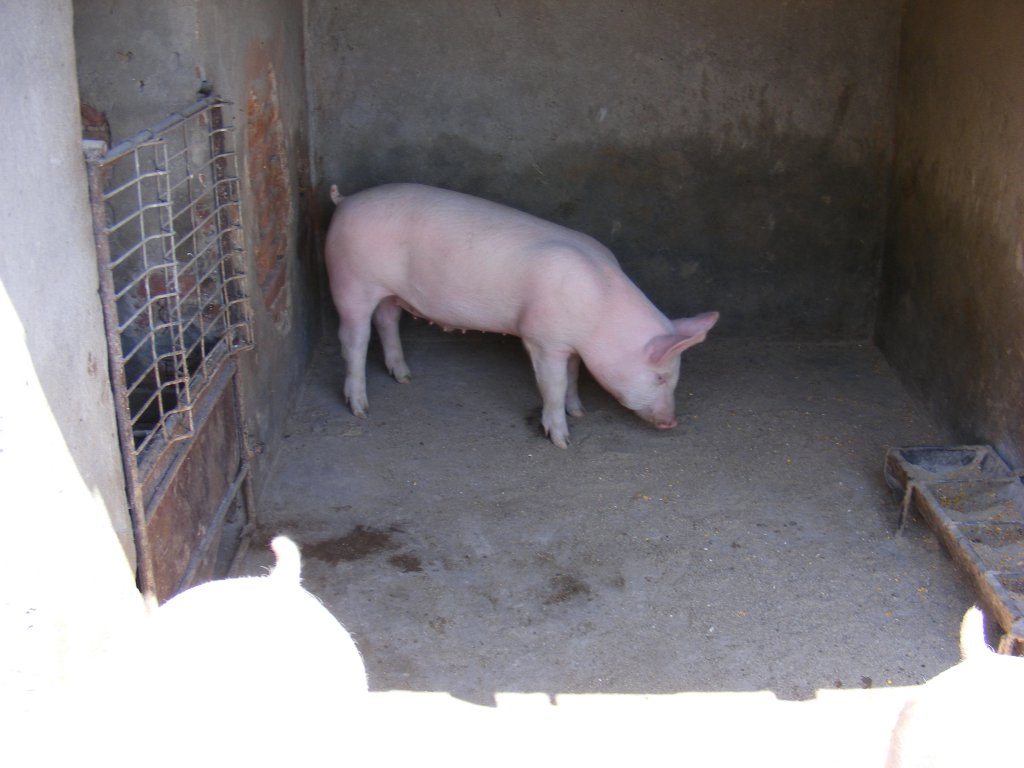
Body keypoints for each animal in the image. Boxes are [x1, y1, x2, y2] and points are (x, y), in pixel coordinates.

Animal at [325, 183, 719, 448]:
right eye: (660, 377)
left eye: (674, 376)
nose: (671, 422)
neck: (598, 312)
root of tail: (345, 201)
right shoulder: (542, 338)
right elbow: (553, 385)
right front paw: (562, 440)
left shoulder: (569, 345)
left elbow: (573, 376)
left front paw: (579, 411)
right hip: (350, 281)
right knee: (352, 340)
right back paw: (360, 409)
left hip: (389, 293)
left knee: (387, 321)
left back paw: (404, 378)